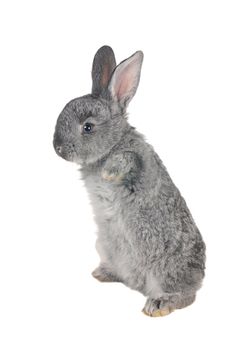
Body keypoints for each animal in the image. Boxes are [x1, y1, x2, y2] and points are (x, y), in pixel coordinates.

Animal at [53, 45, 206, 318]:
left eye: (88, 127)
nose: (57, 148)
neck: (112, 143)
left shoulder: (140, 158)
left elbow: (128, 159)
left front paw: (108, 173)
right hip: (105, 246)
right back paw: (103, 273)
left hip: (165, 268)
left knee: (185, 296)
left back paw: (158, 305)